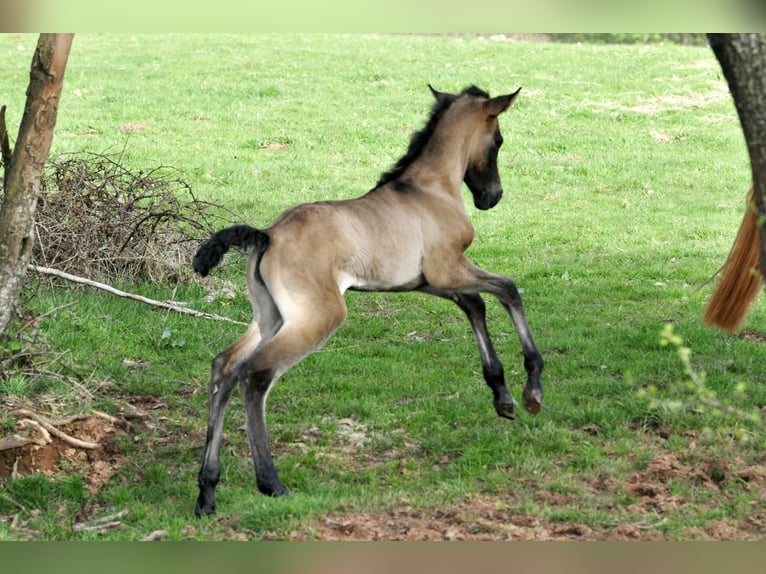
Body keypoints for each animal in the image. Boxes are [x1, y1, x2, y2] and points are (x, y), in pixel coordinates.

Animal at [198, 84, 544, 516]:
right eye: (498, 141)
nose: (491, 197)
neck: (430, 190)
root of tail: (268, 235)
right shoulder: (449, 268)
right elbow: (507, 289)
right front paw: (531, 390)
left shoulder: (427, 281)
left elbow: (475, 305)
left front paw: (502, 395)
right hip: (318, 317)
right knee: (256, 374)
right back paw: (270, 483)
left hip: (270, 316)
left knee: (224, 367)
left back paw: (207, 492)